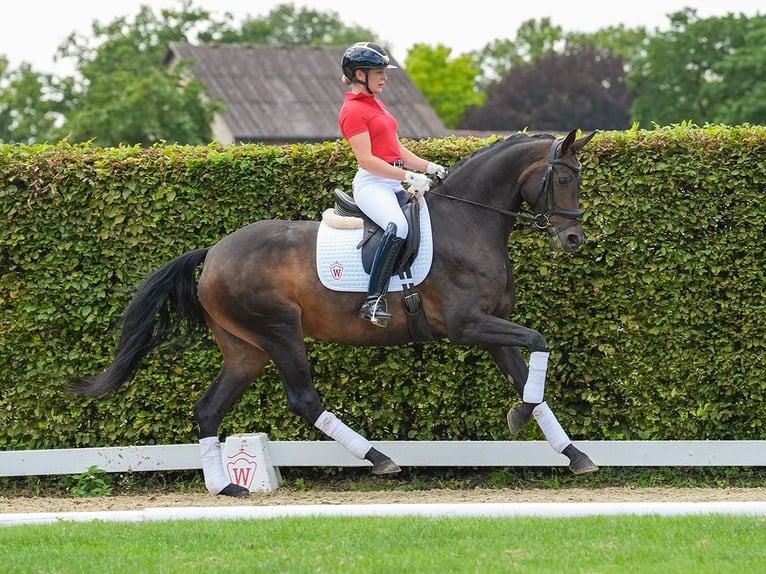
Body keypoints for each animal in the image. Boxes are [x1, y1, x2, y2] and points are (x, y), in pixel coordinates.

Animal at [70, 128, 600, 498]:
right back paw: (379, 458)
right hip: (280, 331)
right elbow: (538, 343)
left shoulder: (490, 330)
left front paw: (572, 453)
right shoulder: (469, 326)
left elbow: (530, 377)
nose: (574, 239)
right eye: (564, 179)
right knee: (303, 399)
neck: (469, 221)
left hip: (245, 349)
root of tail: (214, 252)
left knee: (209, 409)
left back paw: (226, 486)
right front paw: (523, 417)